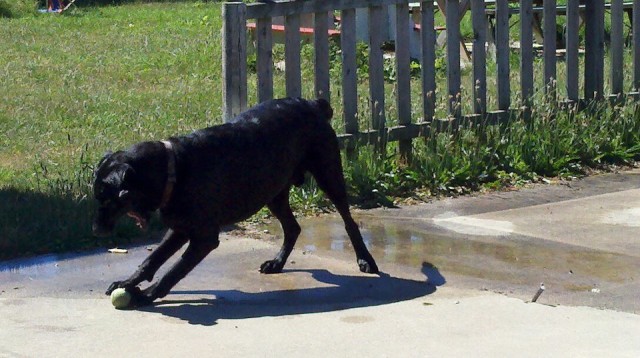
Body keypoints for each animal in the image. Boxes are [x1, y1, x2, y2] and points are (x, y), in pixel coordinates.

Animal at [95, 98, 380, 308]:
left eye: (107, 198)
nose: (96, 230)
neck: (174, 168)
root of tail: (314, 104)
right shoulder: (180, 229)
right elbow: (152, 260)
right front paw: (128, 283)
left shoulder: (204, 238)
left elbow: (173, 271)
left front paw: (147, 294)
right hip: (273, 192)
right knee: (293, 228)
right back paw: (277, 263)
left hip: (328, 176)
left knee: (349, 221)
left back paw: (365, 260)